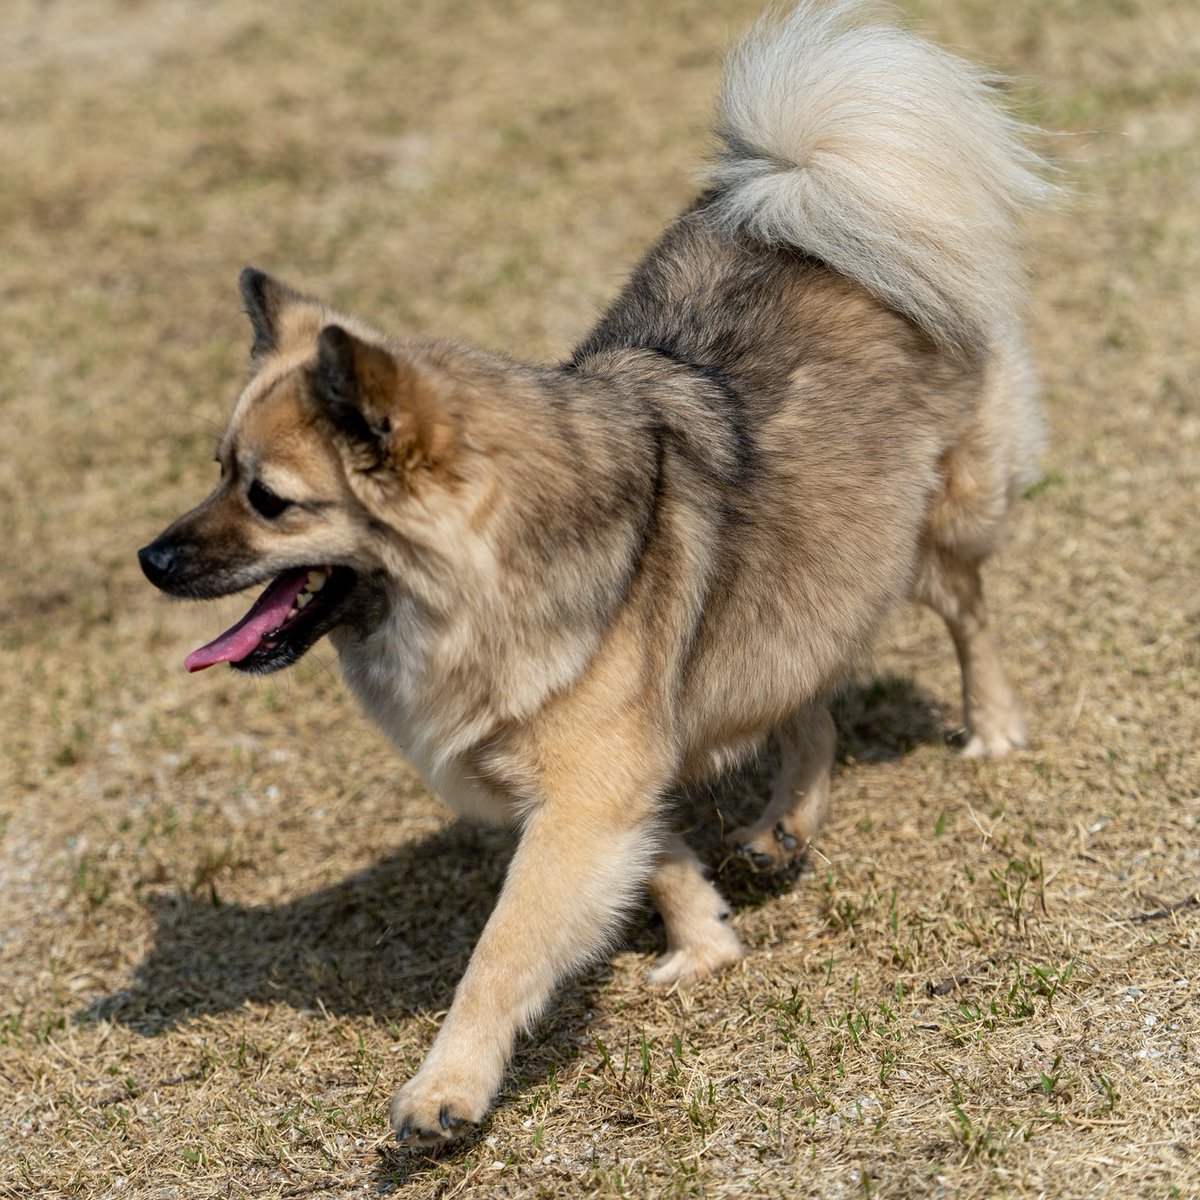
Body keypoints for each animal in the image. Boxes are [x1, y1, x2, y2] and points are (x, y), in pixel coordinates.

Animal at [138, 0, 1051, 1142]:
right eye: (217, 469)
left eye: (267, 499)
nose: (151, 558)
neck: (494, 573)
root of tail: (801, 183)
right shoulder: (609, 781)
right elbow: (658, 859)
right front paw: (706, 942)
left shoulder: (578, 807)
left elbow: (503, 951)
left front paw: (447, 1089)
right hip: (810, 568)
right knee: (808, 695)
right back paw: (784, 825)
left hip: (933, 523)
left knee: (971, 614)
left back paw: (992, 728)